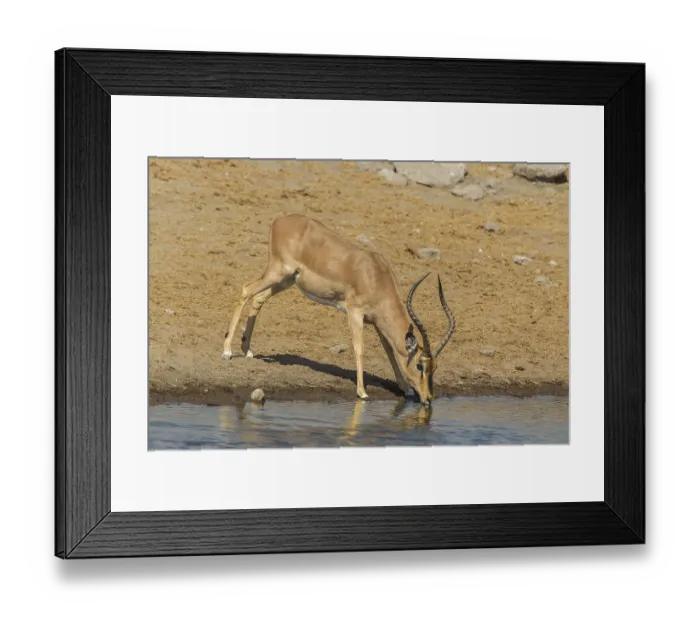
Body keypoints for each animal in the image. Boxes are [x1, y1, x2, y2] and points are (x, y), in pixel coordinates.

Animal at [221, 214, 456, 406]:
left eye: (435, 367)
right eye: (420, 366)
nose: (428, 399)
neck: (376, 274)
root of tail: (279, 220)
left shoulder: (377, 321)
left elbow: (389, 350)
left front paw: (404, 388)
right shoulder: (355, 313)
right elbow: (359, 348)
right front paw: (362, 392)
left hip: (285, 280)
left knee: (258, 298)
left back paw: (247, 350)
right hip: (277, 272)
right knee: (245, 289)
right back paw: (227, 352)